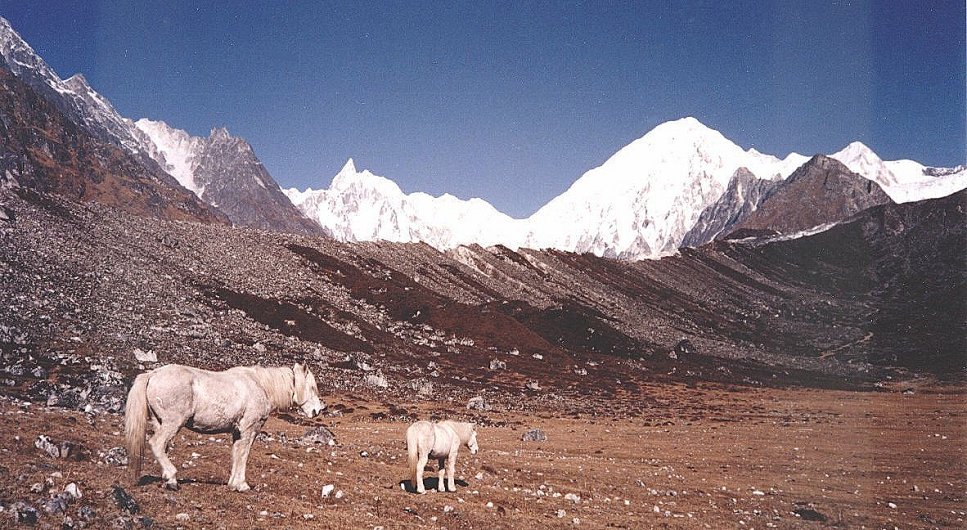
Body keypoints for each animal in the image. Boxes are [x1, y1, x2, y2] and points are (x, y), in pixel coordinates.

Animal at [122, 360, 322, 488]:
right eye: (312, 387)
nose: (316, 411)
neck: (261, 385)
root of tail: (152, 374)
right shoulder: (249, 429)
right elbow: (244, 454)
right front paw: (241, 485)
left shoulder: (237, 432)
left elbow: (236, 453)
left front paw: (233, 483)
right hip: (172, 423)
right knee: (156, 444)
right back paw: (172, 478)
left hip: (160, 422)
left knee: (162, 448)